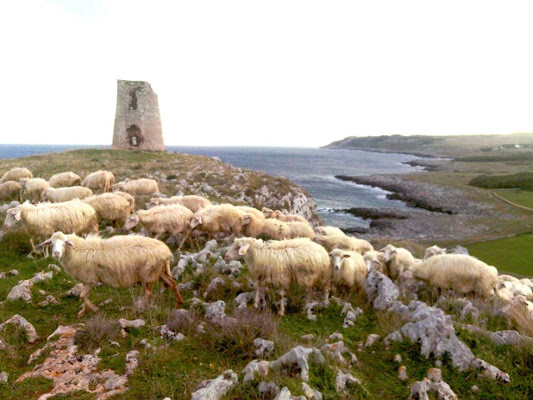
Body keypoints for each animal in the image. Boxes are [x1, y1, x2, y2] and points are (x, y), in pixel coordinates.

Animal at [39, 233, 183, 318]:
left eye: (64, 243)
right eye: (51, 243)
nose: (56, 253)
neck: (77, 250)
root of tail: (166, 251)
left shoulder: (91, 279)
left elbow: (82, 296)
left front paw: (94, 309)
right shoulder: (87, 280)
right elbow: (84, 296)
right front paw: (83, 312)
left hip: (148, 274)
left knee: (148, 293)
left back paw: (138, 309)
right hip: (159, 271)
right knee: (172, 283)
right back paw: (178, 303)